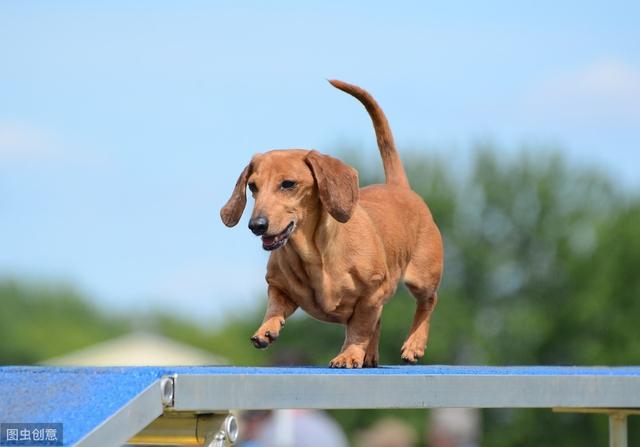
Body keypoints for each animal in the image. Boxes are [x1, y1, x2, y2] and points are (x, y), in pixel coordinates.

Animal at [220, 80, 440, 368]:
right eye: (253, 186)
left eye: (288, 184)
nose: (256, 225)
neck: (314, 255)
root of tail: (399, 187)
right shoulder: (278, 286)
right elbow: (275, 307)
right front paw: (266, 330)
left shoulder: (371, 293)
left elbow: (360, 327)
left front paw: (349, 354)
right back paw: (371, 356)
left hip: (422, 277)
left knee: (427, 302)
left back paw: (414, 344)